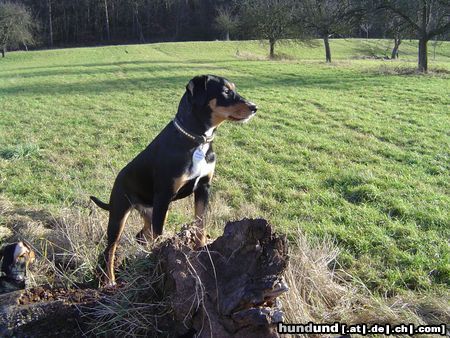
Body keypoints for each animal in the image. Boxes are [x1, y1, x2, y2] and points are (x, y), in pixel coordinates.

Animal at [90, 74, 256, 286]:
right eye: (226, 91)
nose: (254, 107)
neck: (197, 141)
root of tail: (118, 179)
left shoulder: (203, 187)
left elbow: (200, 223)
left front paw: (201, 249)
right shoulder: (164, 194)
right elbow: (160, 236)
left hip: (151, 212)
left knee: (142, 236)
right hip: (120, 214)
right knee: (110, 249)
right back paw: (110, 280)